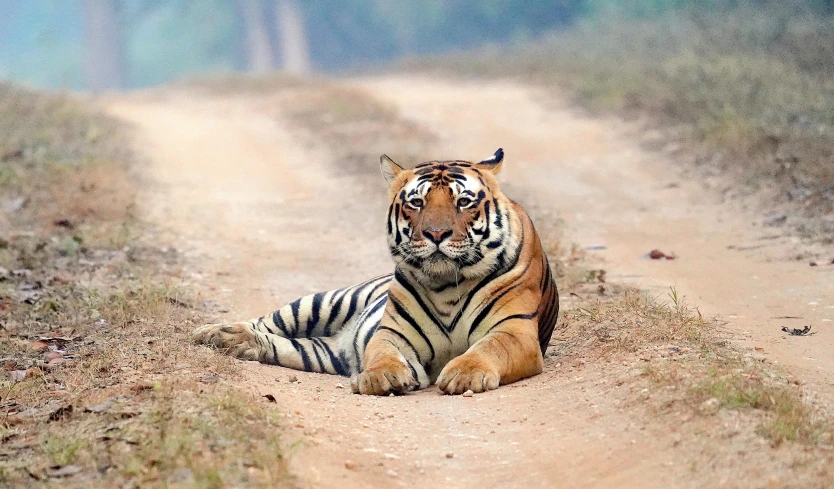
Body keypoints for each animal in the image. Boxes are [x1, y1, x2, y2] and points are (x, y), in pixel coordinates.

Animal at [193, 148, 560, 392]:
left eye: (464, 202)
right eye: (417, 203)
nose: (436, 233)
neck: (446, 285)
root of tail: (339, 341)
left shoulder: (514, 330)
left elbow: (488, 348)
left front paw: (463, 374)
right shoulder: (393, 332)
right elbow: (382, 352)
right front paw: (382, 376)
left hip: (322, 352)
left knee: (287, 345)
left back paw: (237, 344)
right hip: (322, 302)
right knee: (268, 321)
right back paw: (216, 333)